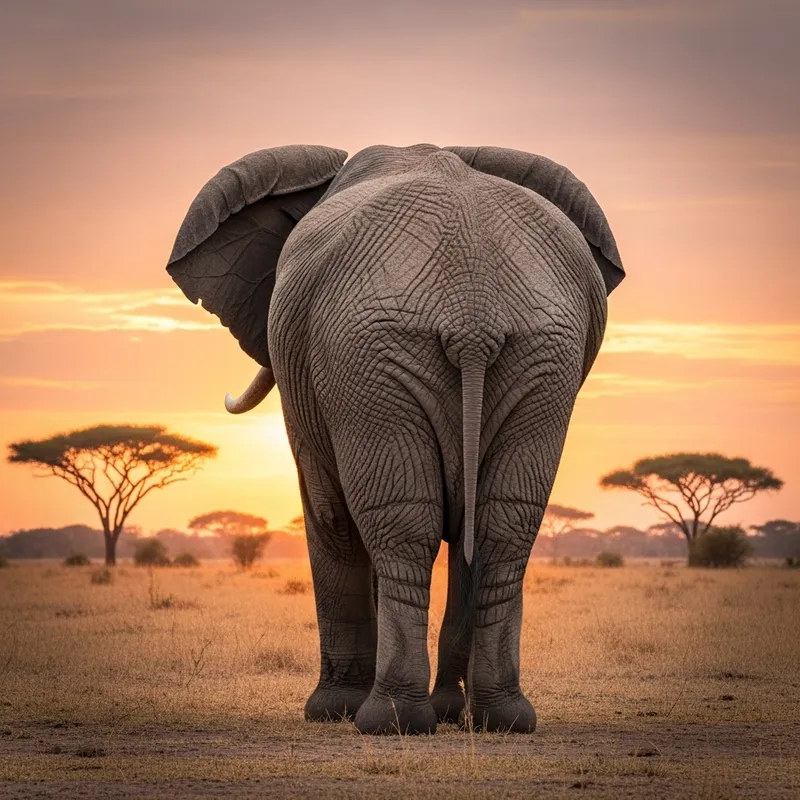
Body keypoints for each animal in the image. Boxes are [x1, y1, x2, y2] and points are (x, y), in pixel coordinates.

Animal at [166, 143, 625, 735]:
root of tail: (473, 317)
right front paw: (448, 711)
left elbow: (329, 512)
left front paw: (330, 711)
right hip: (540, 357)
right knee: (501, 527)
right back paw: (498, 718)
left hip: (368, 355)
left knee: (399, 525)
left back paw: (389, 719)